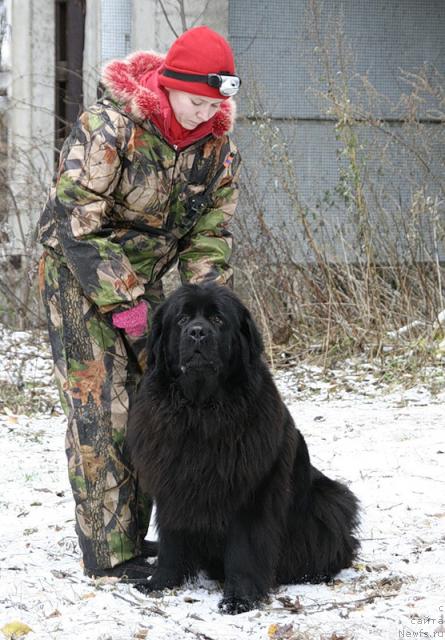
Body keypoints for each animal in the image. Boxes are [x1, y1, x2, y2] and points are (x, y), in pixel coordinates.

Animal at [126, 284, 360, 616]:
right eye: (182, 319)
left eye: (218, 320)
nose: (198, 333)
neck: (201, 411)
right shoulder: (173, 486)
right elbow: (171, 542)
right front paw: (159, 582)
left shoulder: (251, 493)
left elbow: (244, 551)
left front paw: (239, 598)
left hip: (332, 500)